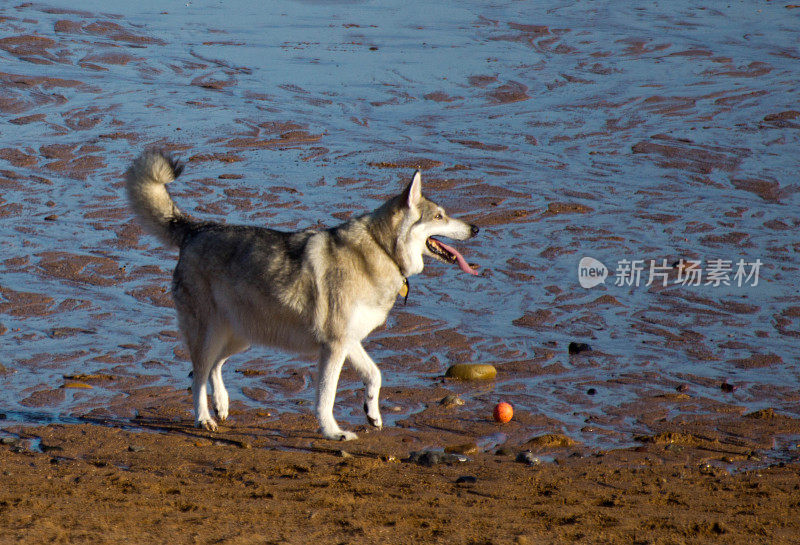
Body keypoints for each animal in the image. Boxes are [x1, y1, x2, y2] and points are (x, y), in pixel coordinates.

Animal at [124, 151, 476, 440]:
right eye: (440, 216)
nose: (475, 228)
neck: (381, 250)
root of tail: (196, 229)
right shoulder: (334, 346)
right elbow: (326, 398)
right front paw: (333, 432)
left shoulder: (349, 341)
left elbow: (374, 375)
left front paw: (372, 414)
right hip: (211, 334)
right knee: (197, 376)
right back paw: (204, 418)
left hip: (240, 336)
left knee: (213, 368)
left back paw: (221, 406)